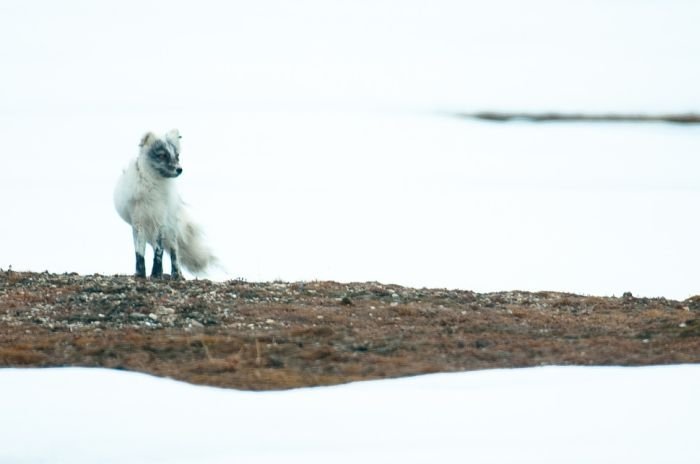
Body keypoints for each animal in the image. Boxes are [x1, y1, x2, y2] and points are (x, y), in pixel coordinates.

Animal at [114, 129, 216, 280]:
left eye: (177, 156)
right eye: (162, 155)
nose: (180, 169)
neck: (152, 186)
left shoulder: (160, 222)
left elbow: (159, 252)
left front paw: (156, 274)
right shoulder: (138, 223)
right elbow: (139, 253)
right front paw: (140, 274)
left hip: (171, 229)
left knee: (174, 251)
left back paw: (176, 274)